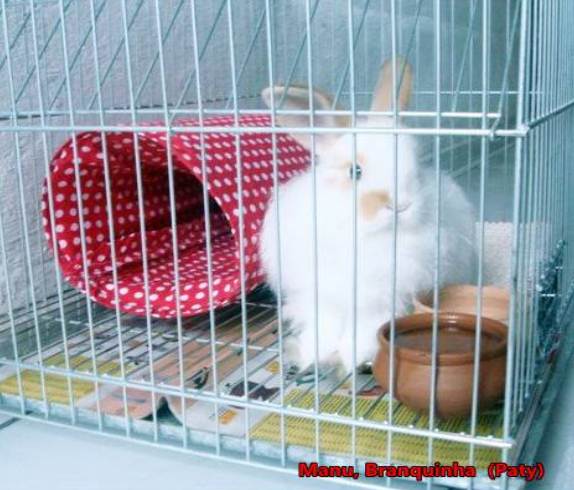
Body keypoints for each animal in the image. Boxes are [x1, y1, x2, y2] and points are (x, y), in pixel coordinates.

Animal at [259, 58, 476, 373]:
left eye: (416, 166)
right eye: (355, 171)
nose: (400, 205)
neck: (364, 233)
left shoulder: (381, 302)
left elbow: (363, 332)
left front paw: (352, 358)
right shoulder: (320, 297)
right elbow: (322, 328)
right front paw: (312, 355)